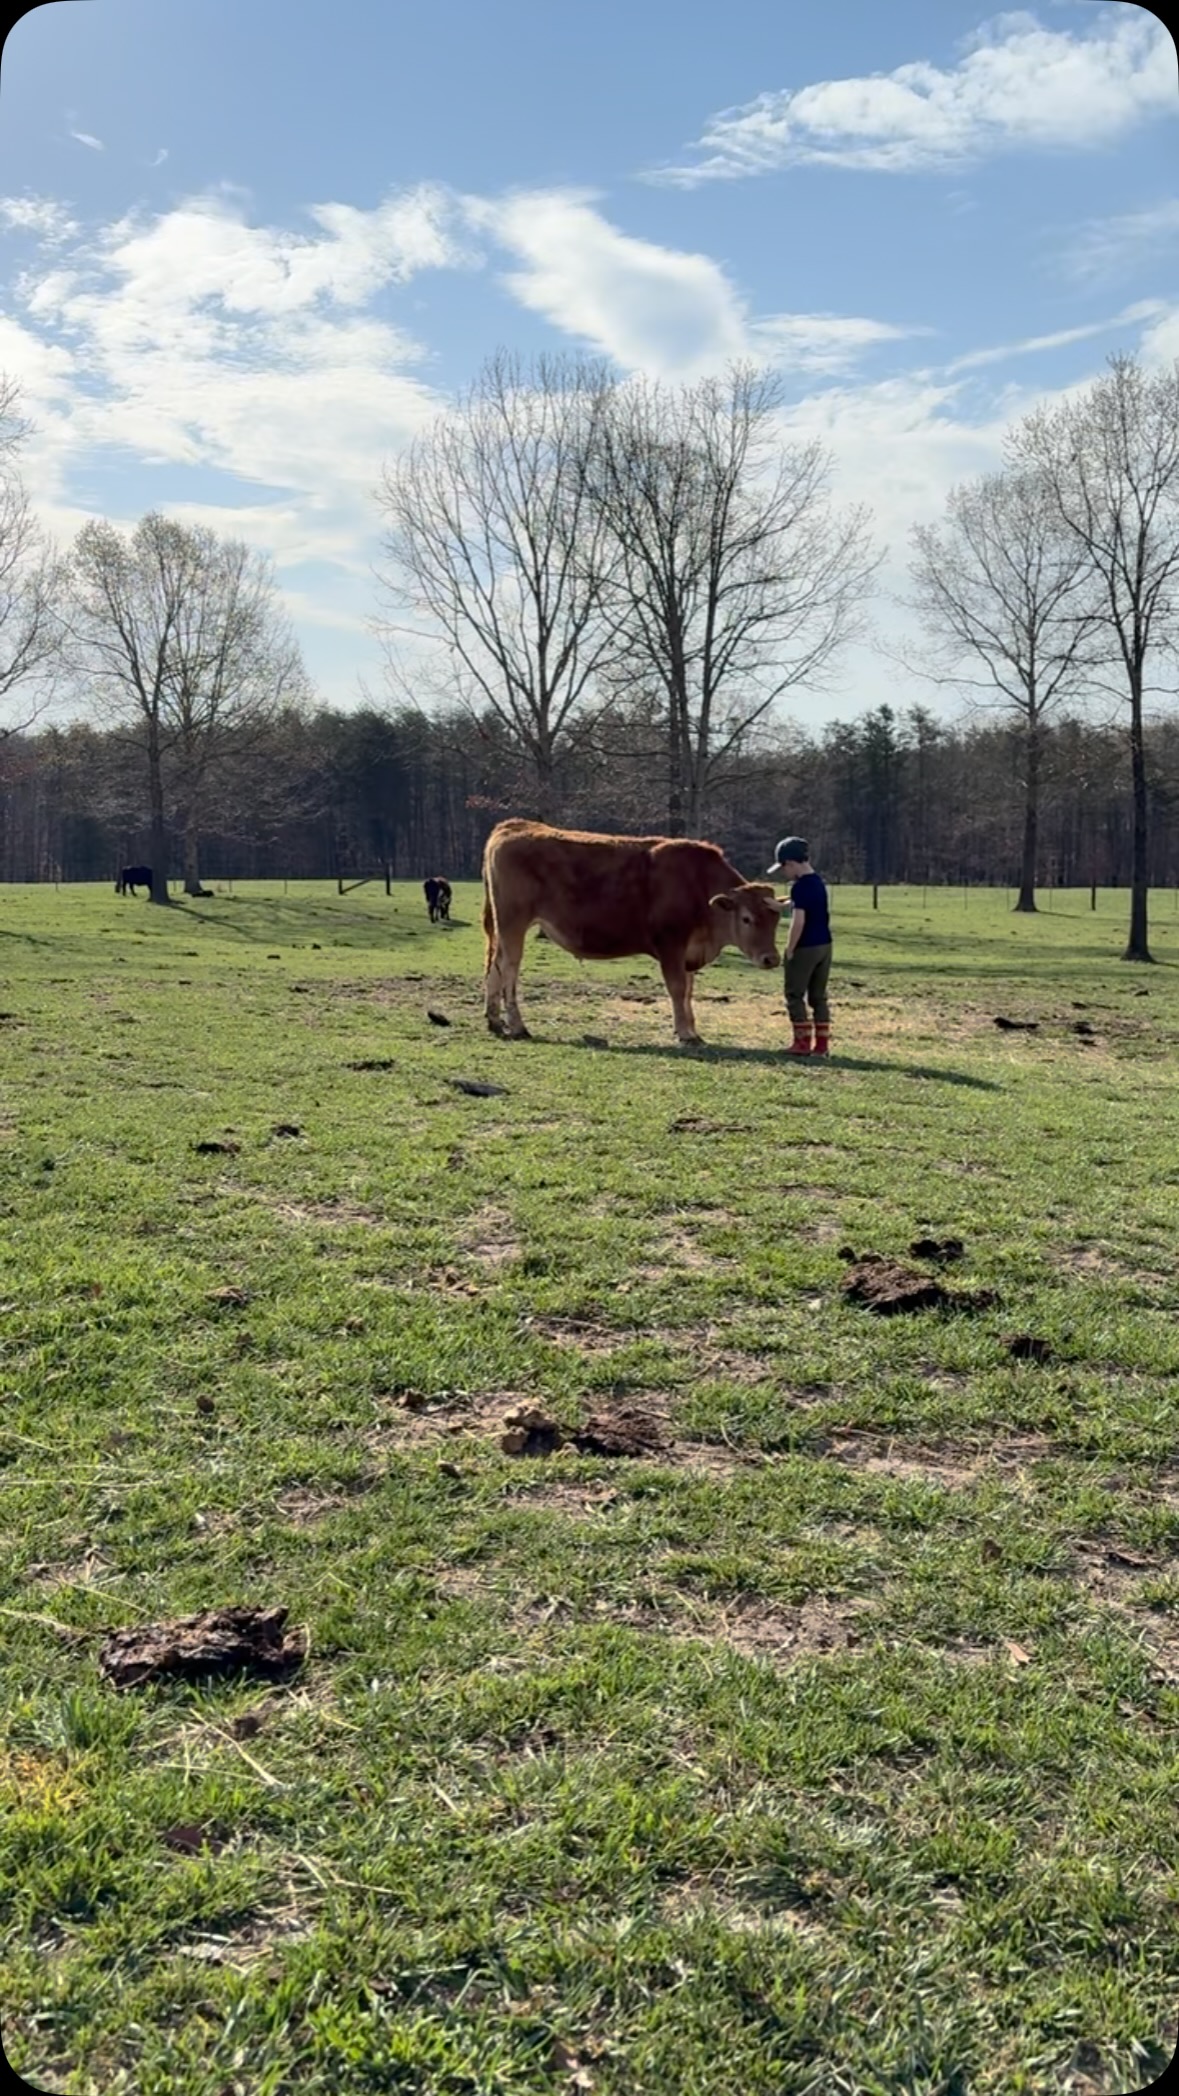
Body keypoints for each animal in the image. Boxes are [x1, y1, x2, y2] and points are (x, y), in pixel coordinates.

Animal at [481, 819, 781, 1046]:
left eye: (776, 919)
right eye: (746, 918)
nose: (772, 959)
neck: (698, 885)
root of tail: (513, 826)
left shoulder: (689, 952)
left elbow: (688, 991)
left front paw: (693, 1031)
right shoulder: (671, 944)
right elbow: (677, 988)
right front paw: (684, 1033)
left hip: (503, 928)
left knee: (495, 966)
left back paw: (495, 1021)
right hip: (513, 924)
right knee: (509, 969)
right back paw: (518, 1026)